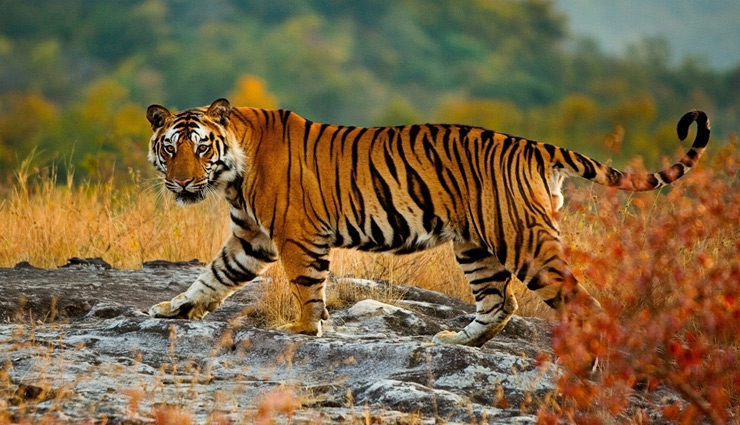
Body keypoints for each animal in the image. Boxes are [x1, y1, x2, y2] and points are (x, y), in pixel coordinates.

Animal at [145, 98, 710, 347]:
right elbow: (212, 275)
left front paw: (304, 329)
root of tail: (534, 145)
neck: (232, 173)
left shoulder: (296, 236)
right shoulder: (252, 238)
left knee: (577, 301)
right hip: (477, 246)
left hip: (523, 240)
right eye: (170, 149)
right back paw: (457, 342)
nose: (181, 183)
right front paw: (174, 308)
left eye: (201, 148)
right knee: (499, 303)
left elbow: (306, 287)